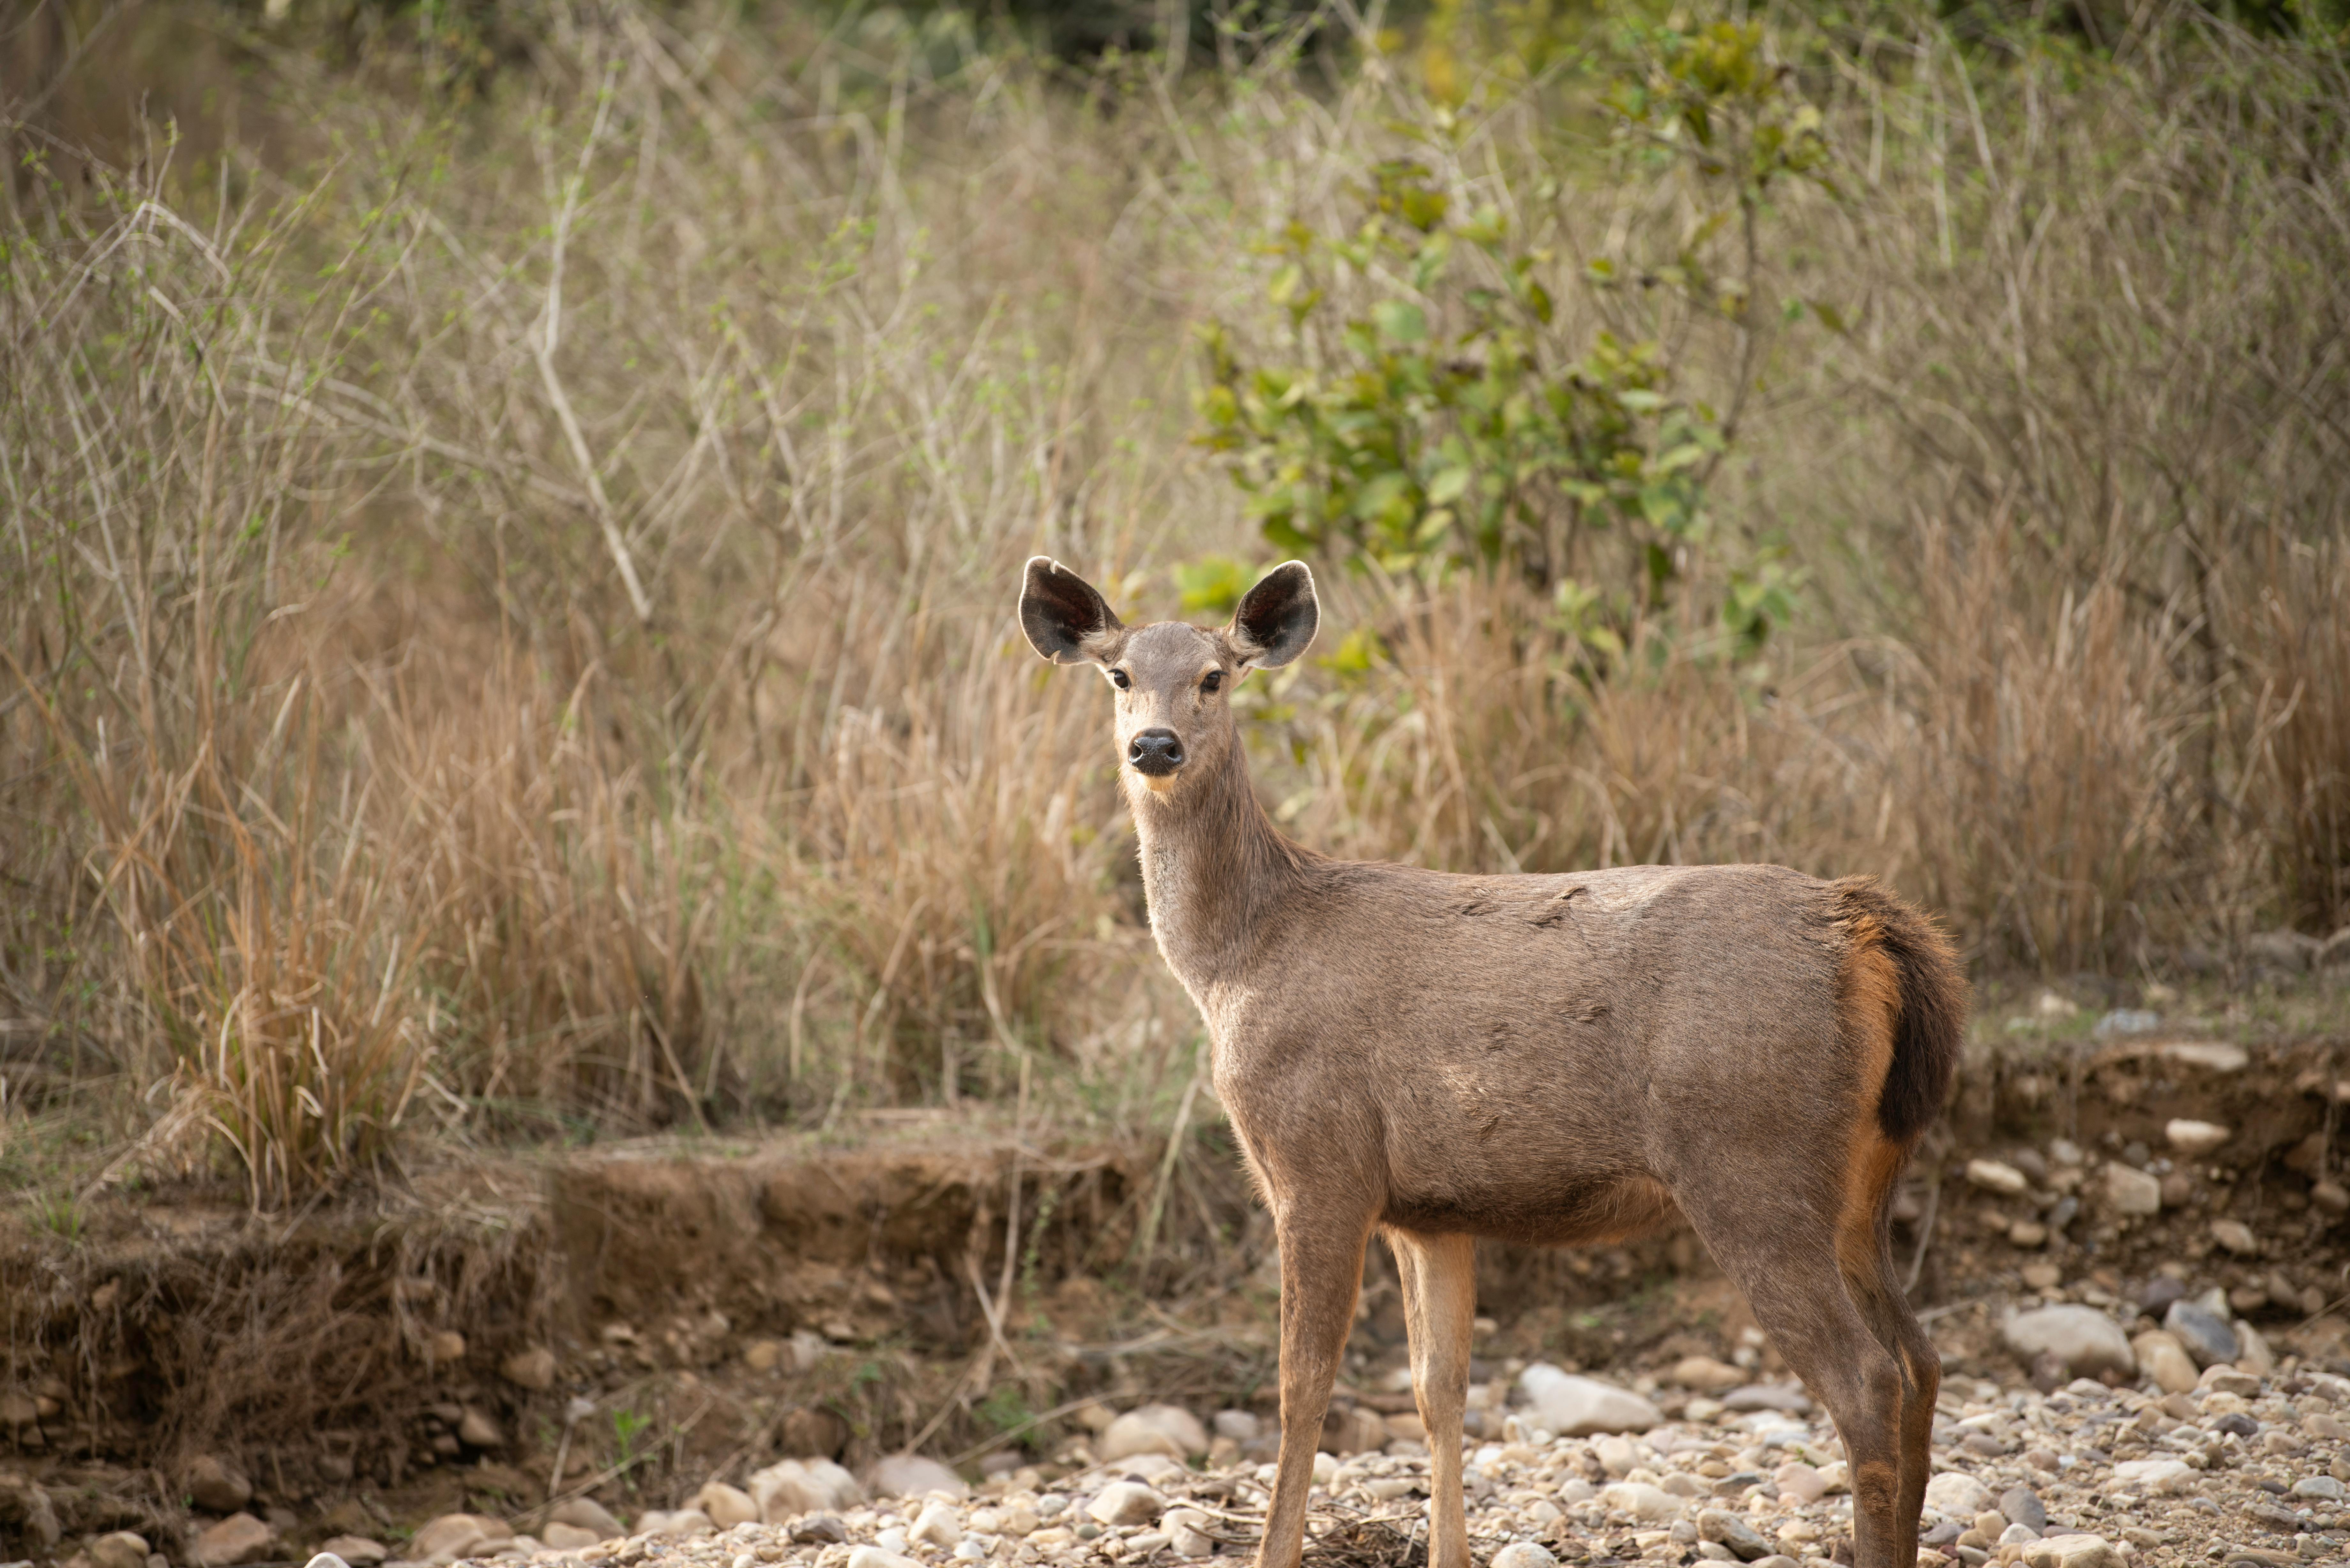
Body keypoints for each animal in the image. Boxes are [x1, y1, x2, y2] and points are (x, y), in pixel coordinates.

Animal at [1020, 554, 1974, 1568]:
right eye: (1119, 675)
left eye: (1214, 676)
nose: (1153, 746)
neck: (1238, 958)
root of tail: (1863, 925)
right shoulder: (1428, 1210)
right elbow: (1439, 1388)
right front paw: (1449, 1548)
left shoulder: (1318, 1161)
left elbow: (1302, 1383)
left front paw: (1274, 1550)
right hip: (1859, 1178)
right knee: (1921, 1359)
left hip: (1750, 1157)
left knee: (1867, 1378)